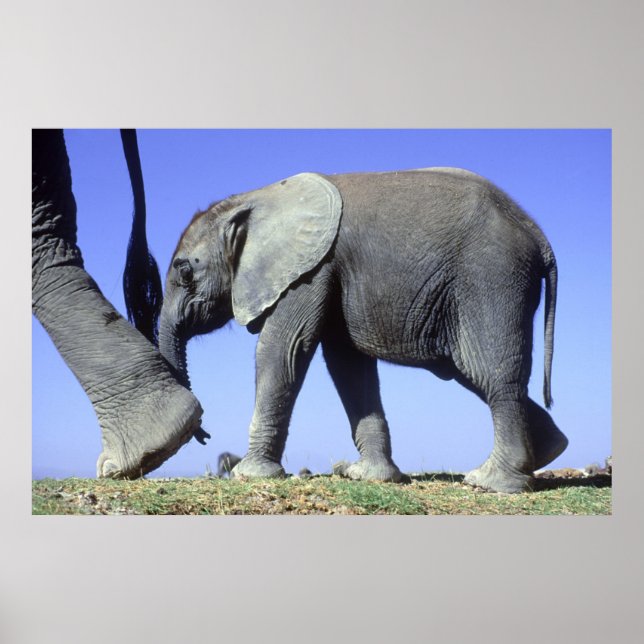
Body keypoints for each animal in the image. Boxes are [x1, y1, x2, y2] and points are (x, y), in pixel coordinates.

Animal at [159, 168, 569, 493]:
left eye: (185, 272)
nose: (203, 432)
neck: (254, 198)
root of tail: (538, 235)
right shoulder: (333, 273)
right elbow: (348, 366)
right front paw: (368, 477)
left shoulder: (310, 269)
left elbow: (282, 350)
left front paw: (251, 474)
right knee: (468, 370)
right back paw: (548, 451)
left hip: (493, 278)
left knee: (491, 373)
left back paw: (491, 482)